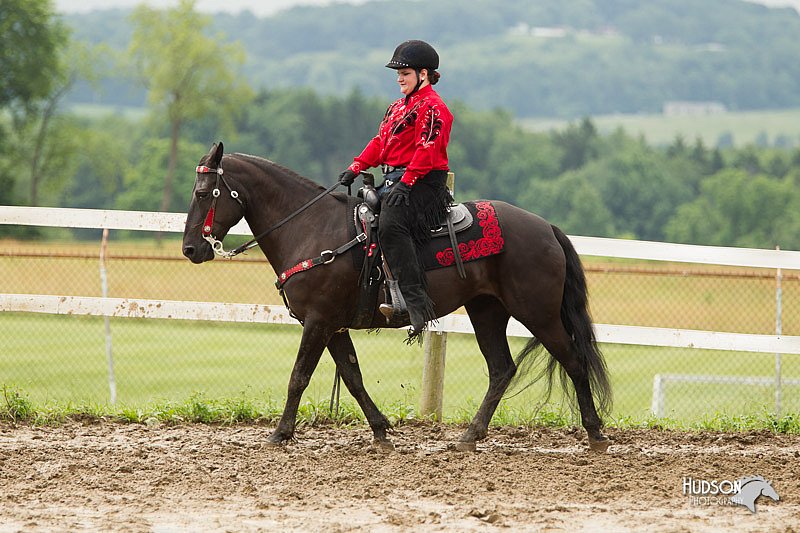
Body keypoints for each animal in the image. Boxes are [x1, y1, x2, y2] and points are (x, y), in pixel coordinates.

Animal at [183, 143, 612, 450]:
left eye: (205, 192)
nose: (190, 249)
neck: (310, 228)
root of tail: (547, 228)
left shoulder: (317, 321)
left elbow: (298, 377)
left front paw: (280, 434)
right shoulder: (333, 326)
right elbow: (353, 377)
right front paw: (381, 430)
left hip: (538, 314)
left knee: (574, 361)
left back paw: (595, 434)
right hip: (487, 312)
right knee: (501, 369)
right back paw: (469, 437)